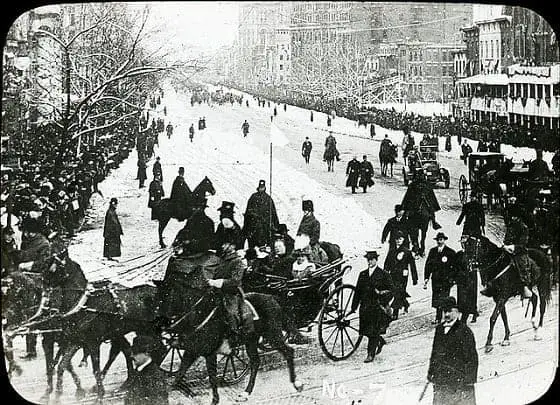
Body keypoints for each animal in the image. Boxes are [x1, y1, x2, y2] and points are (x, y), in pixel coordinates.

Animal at [156, 251, 302, 402]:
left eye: (166, 294)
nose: (159, 321)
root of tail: (273, 298)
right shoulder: (192, 350)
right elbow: (180, 374)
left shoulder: (210, 353)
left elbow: (212, 378)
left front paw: (215, 399)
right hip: (251, 340)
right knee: (255, 362)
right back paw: (246, 392)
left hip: (273, 335)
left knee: (288, 352)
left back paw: (296, 384)